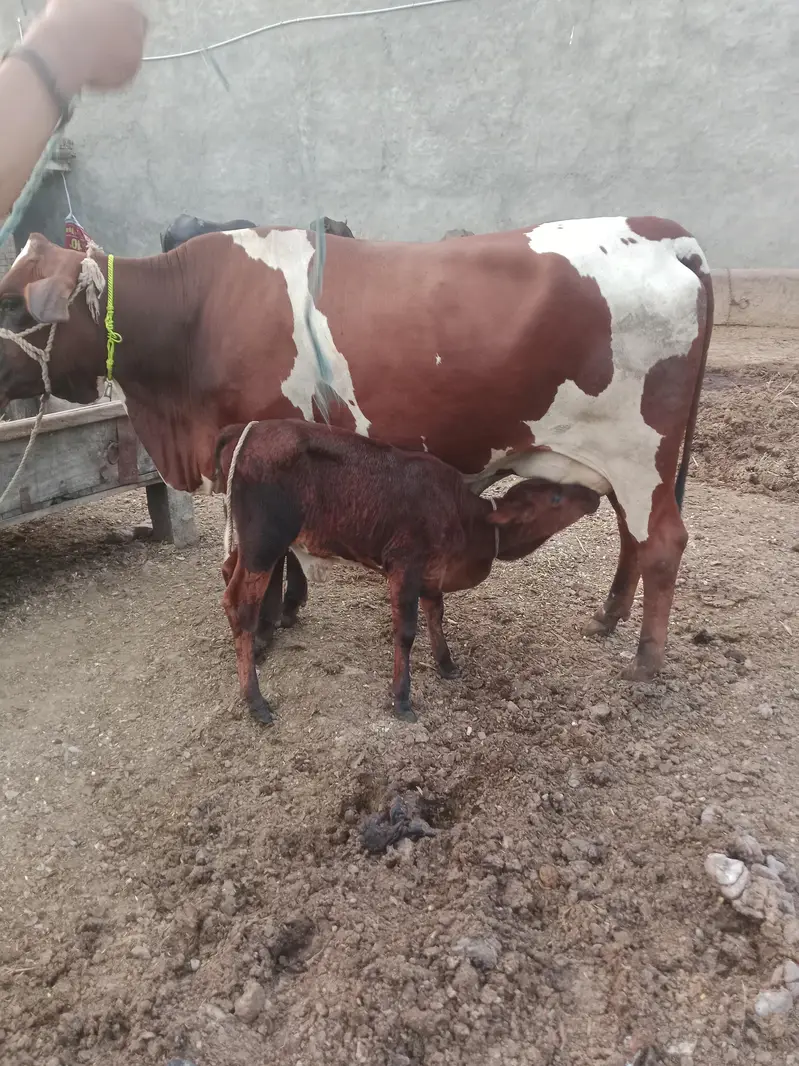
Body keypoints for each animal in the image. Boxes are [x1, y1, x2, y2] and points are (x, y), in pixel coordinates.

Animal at [0, 216, 713, 682]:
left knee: (662, 541)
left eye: (13, 306)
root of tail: (662, 231)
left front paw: (265, 627)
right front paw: (287, 612)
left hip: (638, 450)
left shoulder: (265, 441)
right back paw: (607, 617)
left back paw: (647, 661)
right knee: (631, 536)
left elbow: (274, 555)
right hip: (620, 461)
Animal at [215, 419, 600, 724]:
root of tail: (246, 429)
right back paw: (255, 700)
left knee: (228, 570)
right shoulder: (404, 566)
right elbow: (406, 632)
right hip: (266, 541)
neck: (469, 522)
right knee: (238, 605)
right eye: (555, 498)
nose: (594, 495)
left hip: (250, 545)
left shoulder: (431, 574)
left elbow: (436, 615)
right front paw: (401, 698)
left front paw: (446, 664)